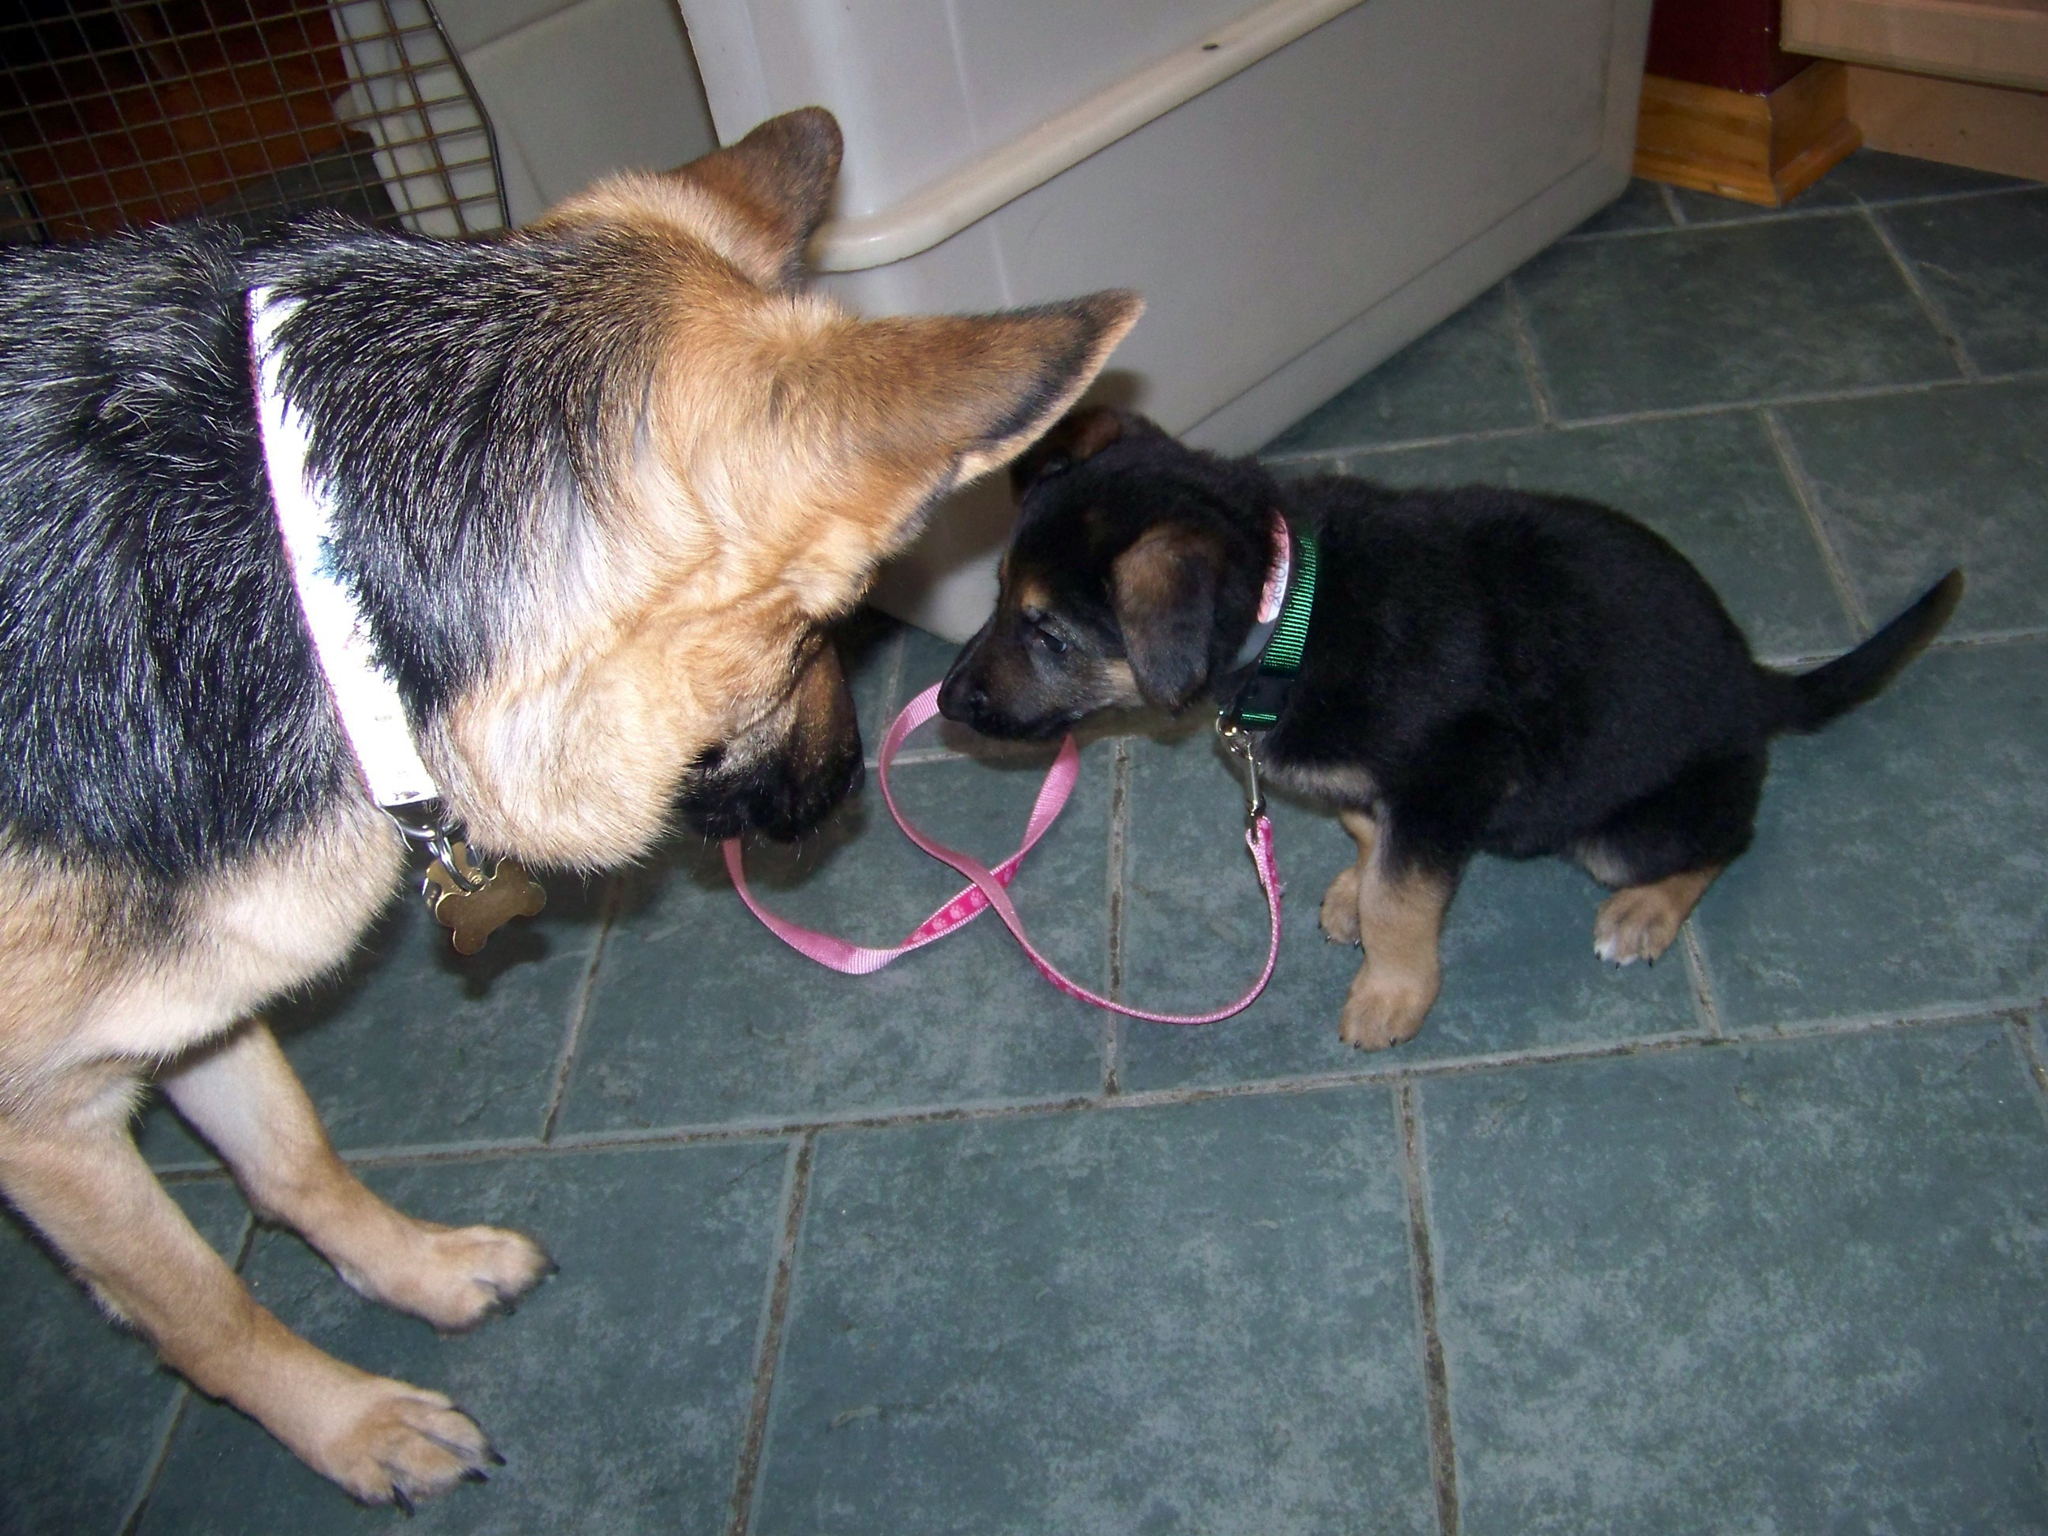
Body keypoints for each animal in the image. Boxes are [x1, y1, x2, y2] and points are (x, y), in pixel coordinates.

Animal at [0, 114, 1138, 1507]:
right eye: (816, 627)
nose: (842, 793)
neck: (316, 591)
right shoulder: (50, 1129)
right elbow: (203, 1306)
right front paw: (351, 1424)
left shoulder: (187, 1003)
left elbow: (294, 1158)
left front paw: (415, 1271)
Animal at [937, 409, 1957, 1056]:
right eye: (998, 598)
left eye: (1049, 633)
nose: (946, 704)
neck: (1293, 608)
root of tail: (1755, 686)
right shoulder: (1391, 787)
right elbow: (1368, 834)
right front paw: (1353, 890)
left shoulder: (1454, 774)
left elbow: (1404, 895)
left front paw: (1391, 990)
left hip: (1627, 832)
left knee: (1723, 839)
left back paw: (1645, 912)